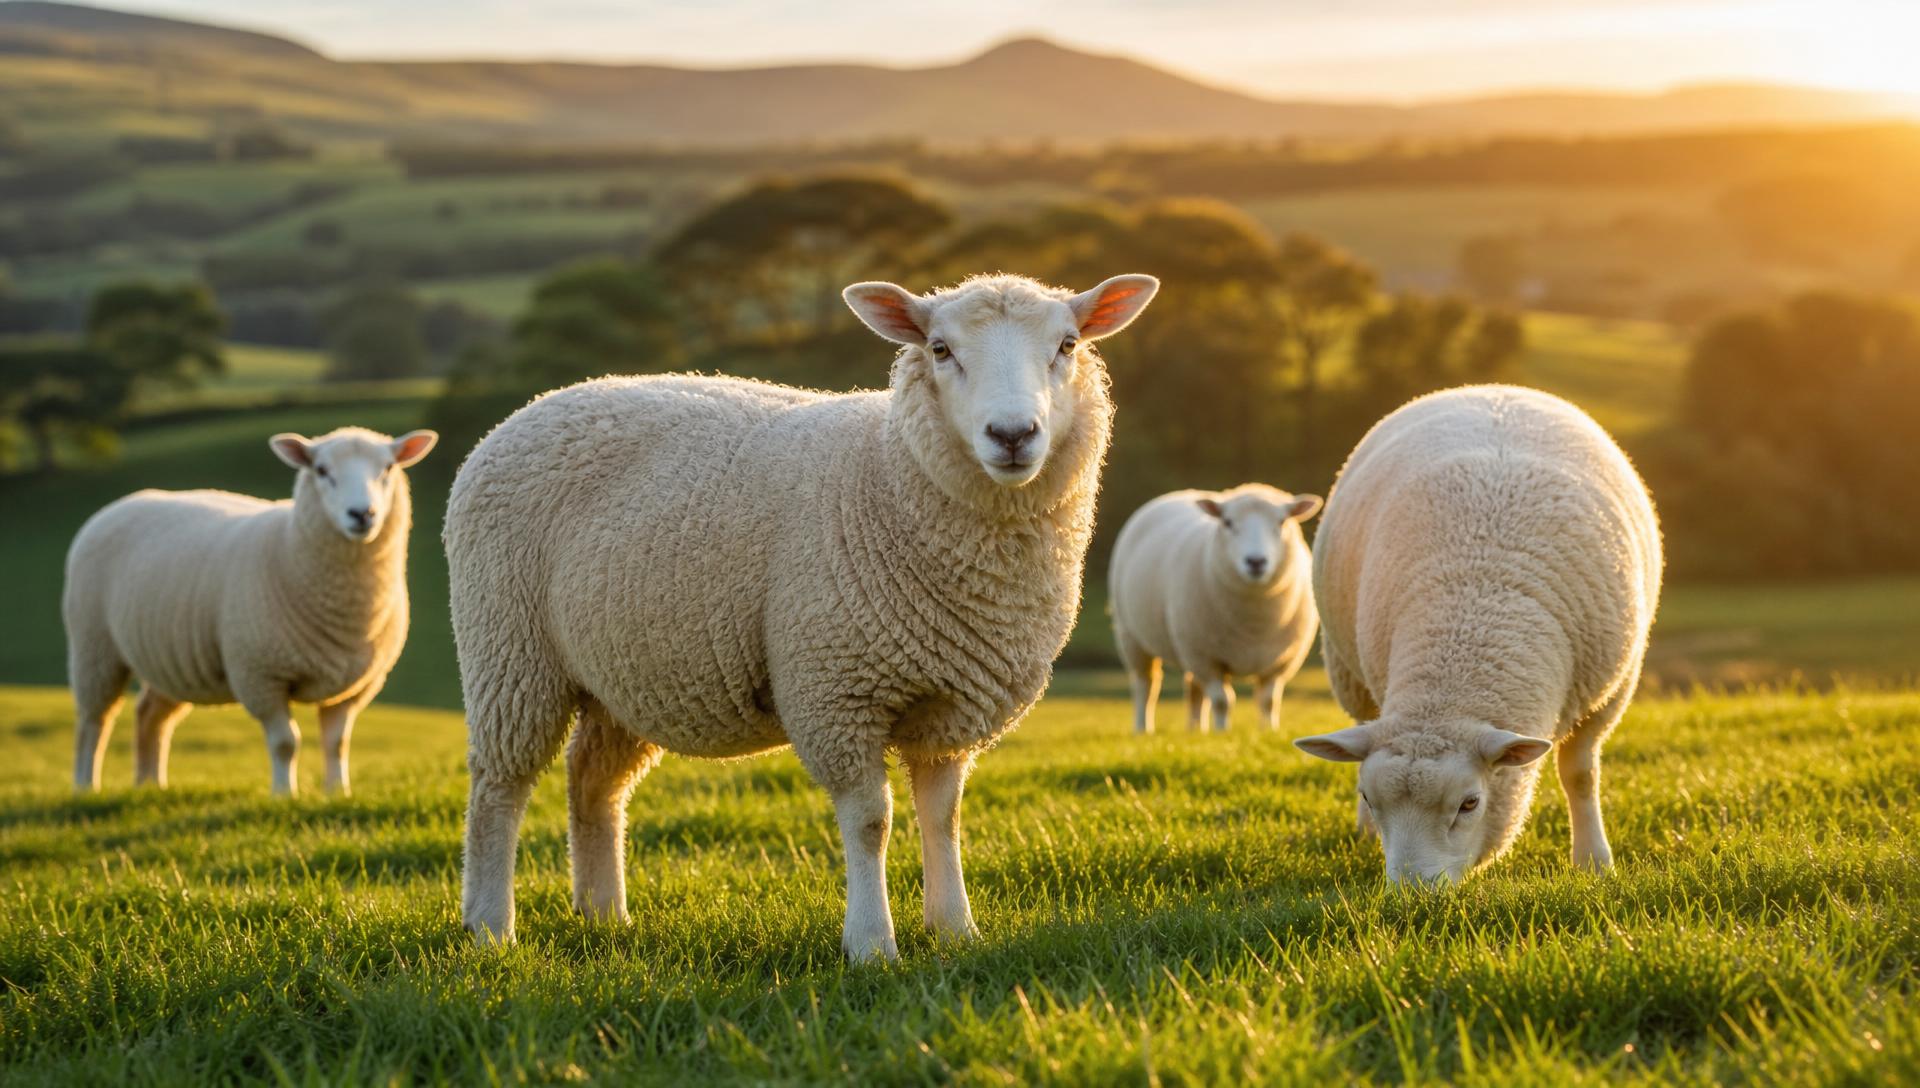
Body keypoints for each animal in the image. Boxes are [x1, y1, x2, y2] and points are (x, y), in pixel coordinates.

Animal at [63, 427, 438, 796]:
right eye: (321, 470)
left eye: (388, 468)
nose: (362, 514)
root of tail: (123, 502)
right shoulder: (261, 675)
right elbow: (286, 743)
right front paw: (284, 795)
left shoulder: (354, 686)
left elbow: (337, 743)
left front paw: (338, 793)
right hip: (94, 645)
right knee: (93, 720)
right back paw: (85, 786)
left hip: (168, 659)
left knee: (149, 715)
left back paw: (151, 785)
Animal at [445, 272, 1159, 958]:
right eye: (940, 349)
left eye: (1068, 344)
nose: (1012, 436)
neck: (887, 474)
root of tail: (535, 408)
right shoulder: (835, 690)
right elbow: (871, 821)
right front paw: (872, 944)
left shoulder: (953, 703)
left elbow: (944, 817)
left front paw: (956, 930)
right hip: (509, 648)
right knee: (499, 787)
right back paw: (490, 928)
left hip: (624, 674)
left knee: (593, 783)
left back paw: (604, 918)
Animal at [1108, 484, 1323, 734]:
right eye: (1228, 522)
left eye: (1282, 522)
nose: (1256, 562)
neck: (1254, 623)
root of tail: (1182, 493)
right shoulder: (1207, 658)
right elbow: (1222, 701)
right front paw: (1223, 732)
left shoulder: (1281, 661)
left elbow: (1268, 701)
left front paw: (1269, 731)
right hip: (1131, 634)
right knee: (1146, 685)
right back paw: (1143, 728)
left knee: (1193, 689)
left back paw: (1196, 730)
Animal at [1294, 385, 1661, 885]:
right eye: (1370, 795)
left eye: (1470, 804)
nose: (1411, 892)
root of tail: (1493, 389)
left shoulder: (1608, 693)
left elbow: (1581, 774)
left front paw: (1594, 862)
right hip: (1349, 672)